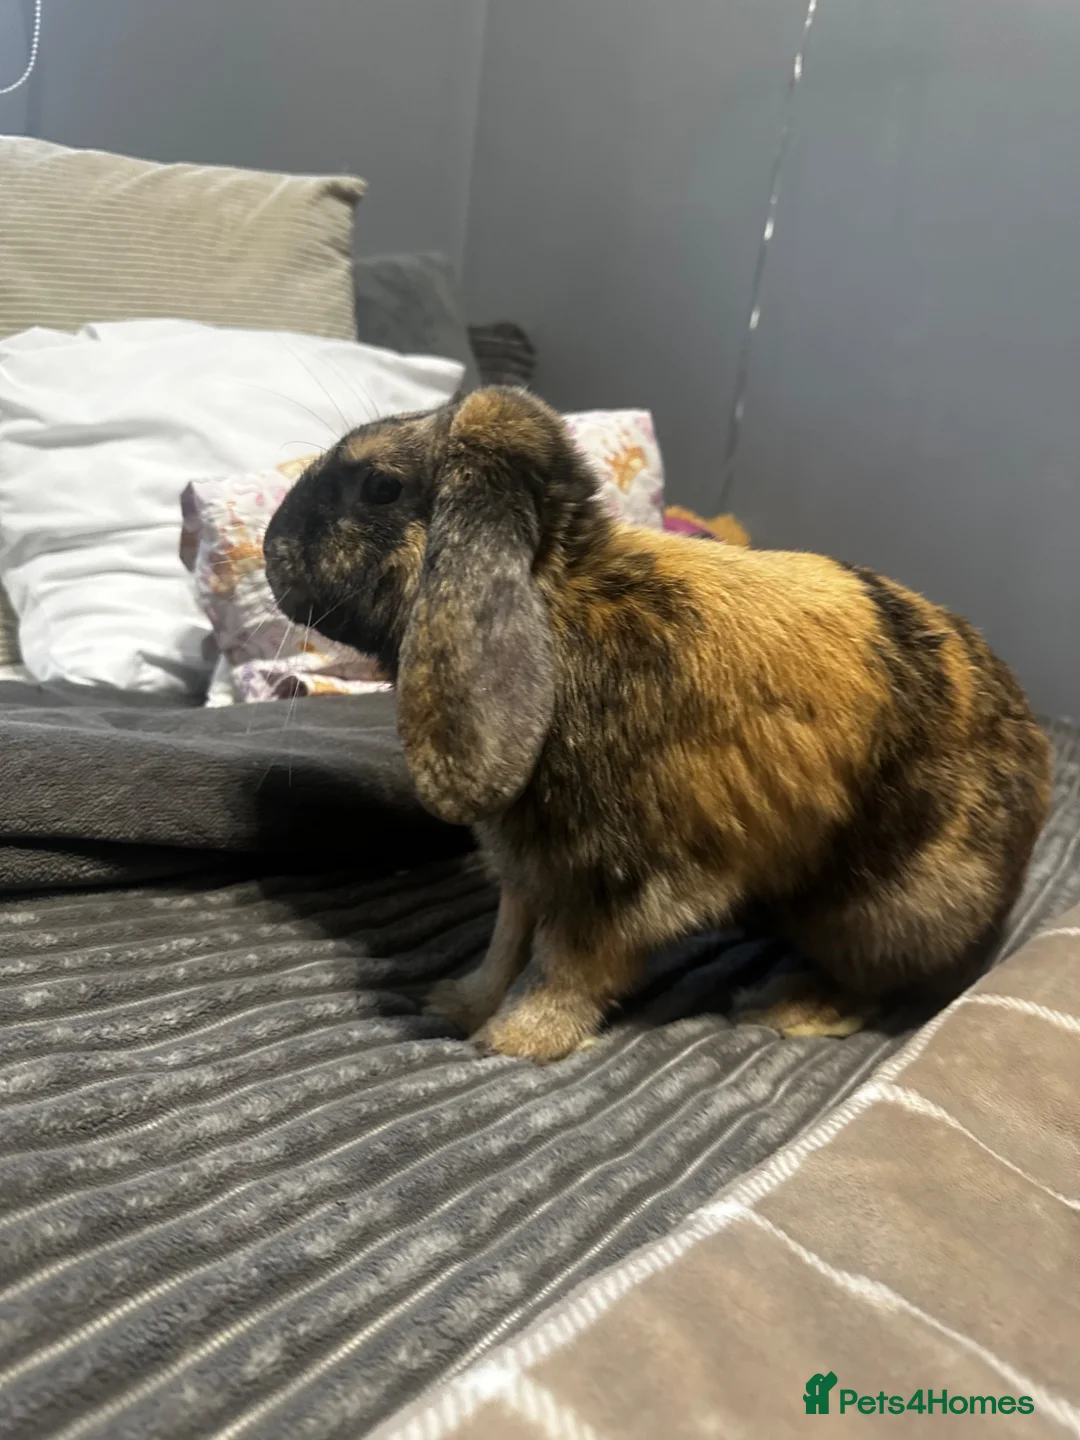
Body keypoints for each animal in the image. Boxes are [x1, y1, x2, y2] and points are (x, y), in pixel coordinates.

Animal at [263, 387, 1052, 1063]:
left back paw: (786, 1008)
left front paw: (515, 1041)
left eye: (381, 487)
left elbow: (567, 967)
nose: (272, 549)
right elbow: (504, 945)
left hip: (882, 911)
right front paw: (455, 1005)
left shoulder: (618, 880)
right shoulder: (529, 870)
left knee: (877, 984)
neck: (562, 604)